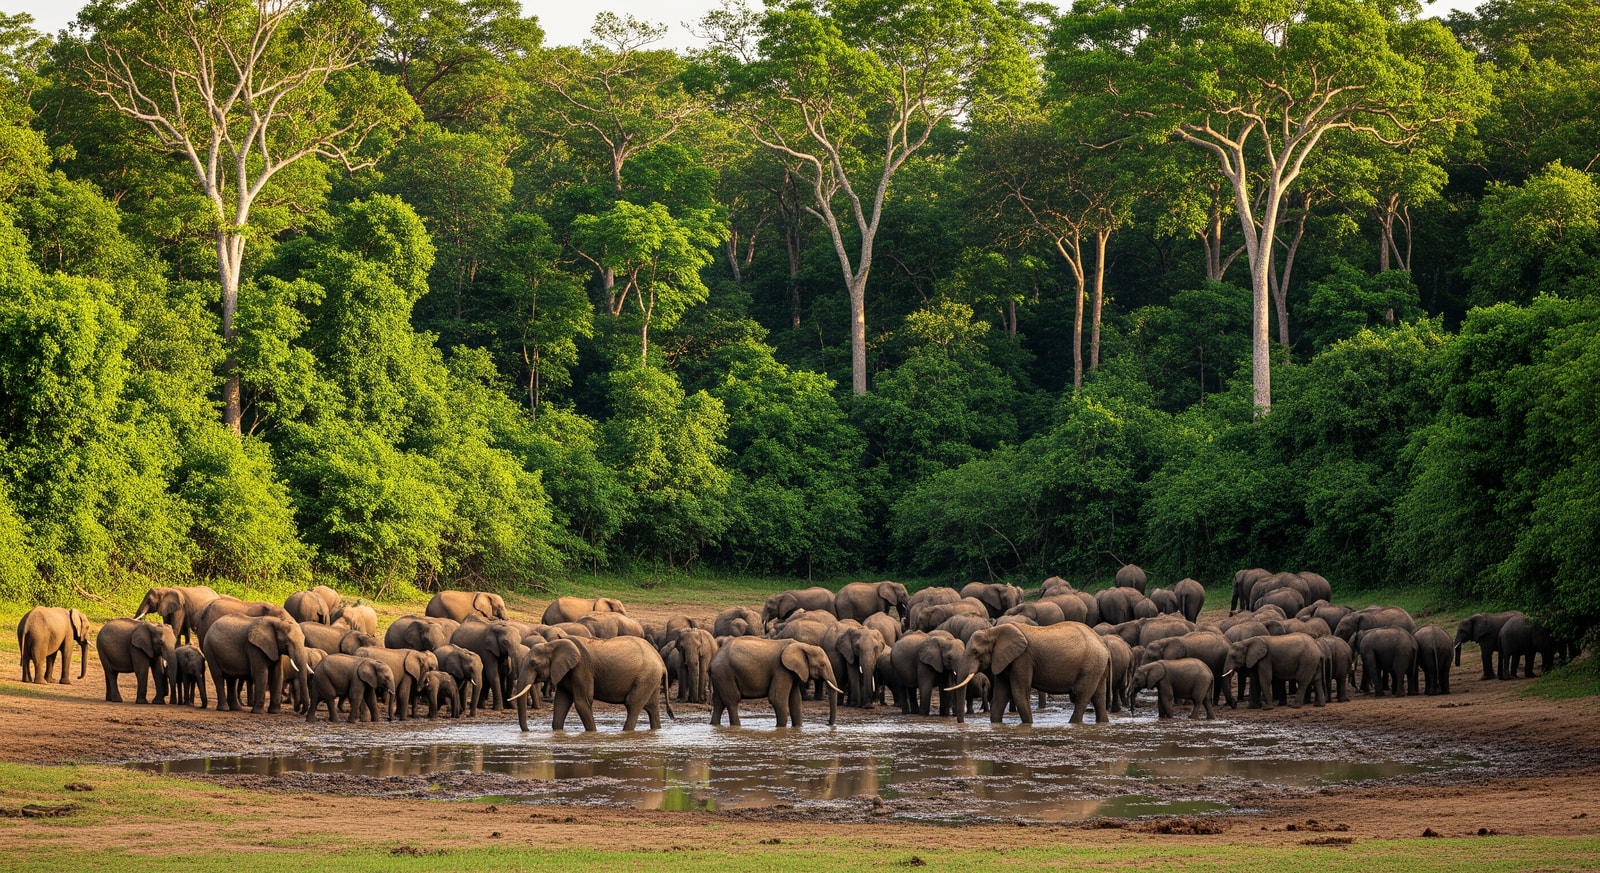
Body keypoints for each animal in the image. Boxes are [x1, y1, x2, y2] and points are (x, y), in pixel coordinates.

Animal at [509, 636, 671, 732]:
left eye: (533, 663)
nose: (528, 731)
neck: (553, 644)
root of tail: (660, 660)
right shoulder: (565, 673)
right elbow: (561, 703)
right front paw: (557, 732)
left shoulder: (581, 669)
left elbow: (582, 702)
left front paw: (593, 733)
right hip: (651, 678)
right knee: (651, 707)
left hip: (646, 677)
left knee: (632, 704)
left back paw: (625, 732)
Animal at [948, 621, 1112, 724]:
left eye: (975, 652)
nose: (962, 722)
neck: (993, 631)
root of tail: (1103, 644)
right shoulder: (1004, 660)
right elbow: (1000, 696)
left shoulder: (1022, 658)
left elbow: (1019, 693)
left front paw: (1029, 725)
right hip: (1097, 666)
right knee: (1098, 697)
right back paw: (1103, 722)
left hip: (1091, 665)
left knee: (1081, 696)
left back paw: (1072, 723)